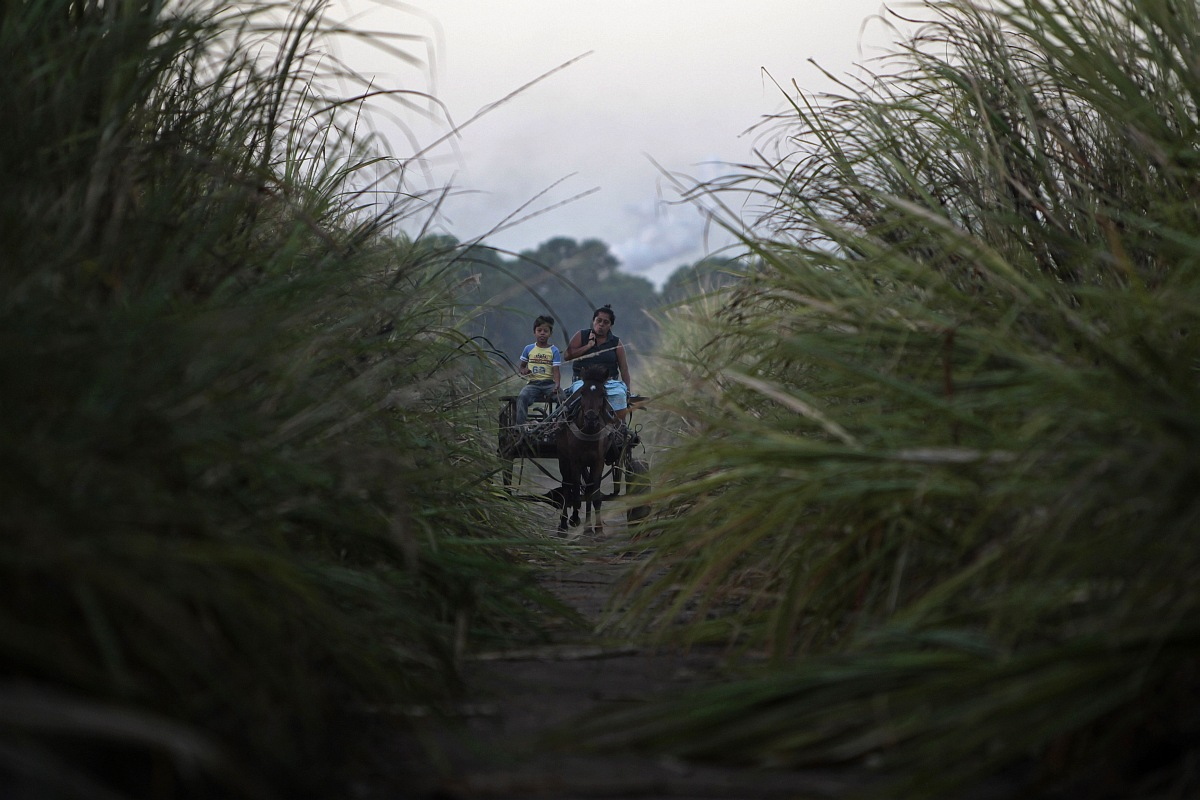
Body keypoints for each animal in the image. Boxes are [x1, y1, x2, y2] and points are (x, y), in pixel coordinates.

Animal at [554, 367, 614, 534]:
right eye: (582, 393)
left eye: (603, 394)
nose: (591, 418)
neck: (589, 432)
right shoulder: (575, 461)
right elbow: (574, 491)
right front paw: (574, 518)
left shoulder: (598, 461)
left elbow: (595, 493)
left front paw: (598, 528)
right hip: (564, 459)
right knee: (567, 486)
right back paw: (563, 524)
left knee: (587, 489)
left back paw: (587, 527)